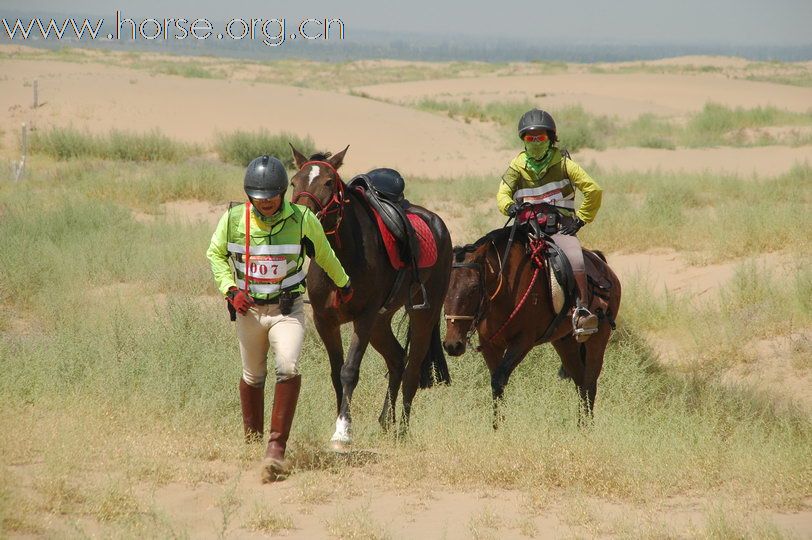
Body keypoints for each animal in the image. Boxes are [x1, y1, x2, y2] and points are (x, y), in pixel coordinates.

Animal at [288, 142, 454, 448]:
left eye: (328, 183)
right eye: (294, 182)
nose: (303, 225)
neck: (342, 256)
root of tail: (437, 223)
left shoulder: (363, 319)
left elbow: (349, 371)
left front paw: (342, 431)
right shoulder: (324, 320)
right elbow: (335, 373)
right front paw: (342, 422)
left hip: (422, 314)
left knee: (412, 368)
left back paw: (402, 429)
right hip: (381, 321)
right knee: (397, 358)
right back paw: (386, 420)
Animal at [444, 224, 620, 426]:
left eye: (474, 287)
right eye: (445, 286)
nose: (452, 345)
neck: (507, 288)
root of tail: (604, 266)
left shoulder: (523, 341)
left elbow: (499, 379)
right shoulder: (490, 345)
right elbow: (496, 383)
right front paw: (497, 427)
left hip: (597, 339)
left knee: (590, 383)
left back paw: (588, 428)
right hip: (565, 342)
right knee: (580, 381)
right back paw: (580, 426)